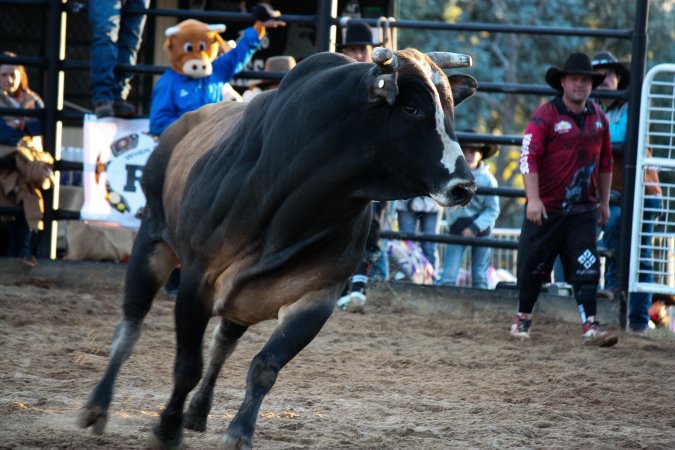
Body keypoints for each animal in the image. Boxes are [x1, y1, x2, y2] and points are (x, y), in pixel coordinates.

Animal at [78, 47, 478, 449]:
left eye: (450, 109)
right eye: (412, 108)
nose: (464, 185)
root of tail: (179, 129)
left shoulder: (316, 297)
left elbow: (265, 366)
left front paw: (239, 431)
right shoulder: (196, 281)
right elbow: (187, 367)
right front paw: (166, 429)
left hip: (244, 295)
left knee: (222, 342)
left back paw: (198, 411)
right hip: (153, 242)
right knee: (130, 326)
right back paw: (97, 407)